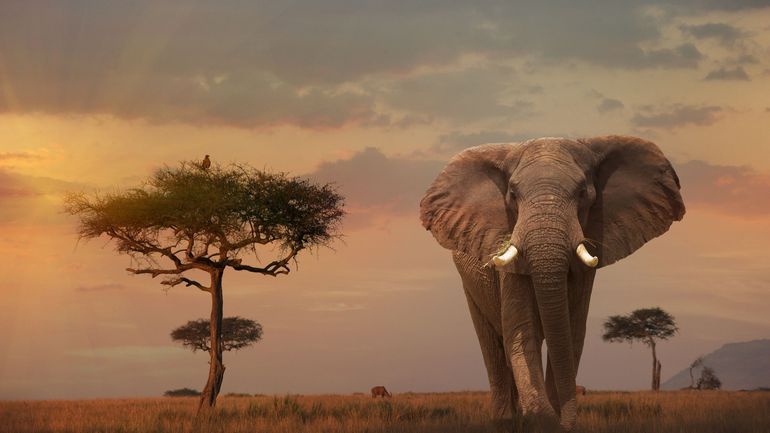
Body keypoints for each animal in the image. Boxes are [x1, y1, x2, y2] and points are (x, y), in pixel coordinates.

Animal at [420, 136, 684, 430]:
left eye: (583, 193)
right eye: (513, 195)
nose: (566, 422)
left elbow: (571, 333)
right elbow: (523, 332)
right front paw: (541, 418)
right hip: (470, 282)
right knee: (493, 346)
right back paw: (506, 420)